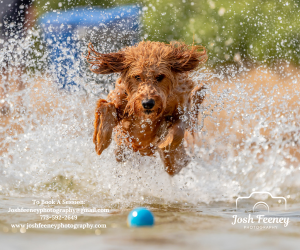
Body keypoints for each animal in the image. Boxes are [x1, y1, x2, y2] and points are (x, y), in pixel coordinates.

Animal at [86, 41, 207, 176]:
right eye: (137, 77)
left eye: (160, 76)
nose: (148, 103)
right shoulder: (119, 99)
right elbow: (106, 107)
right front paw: (101, 140)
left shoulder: (182, 108)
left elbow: (178, 130)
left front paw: (165, 143)